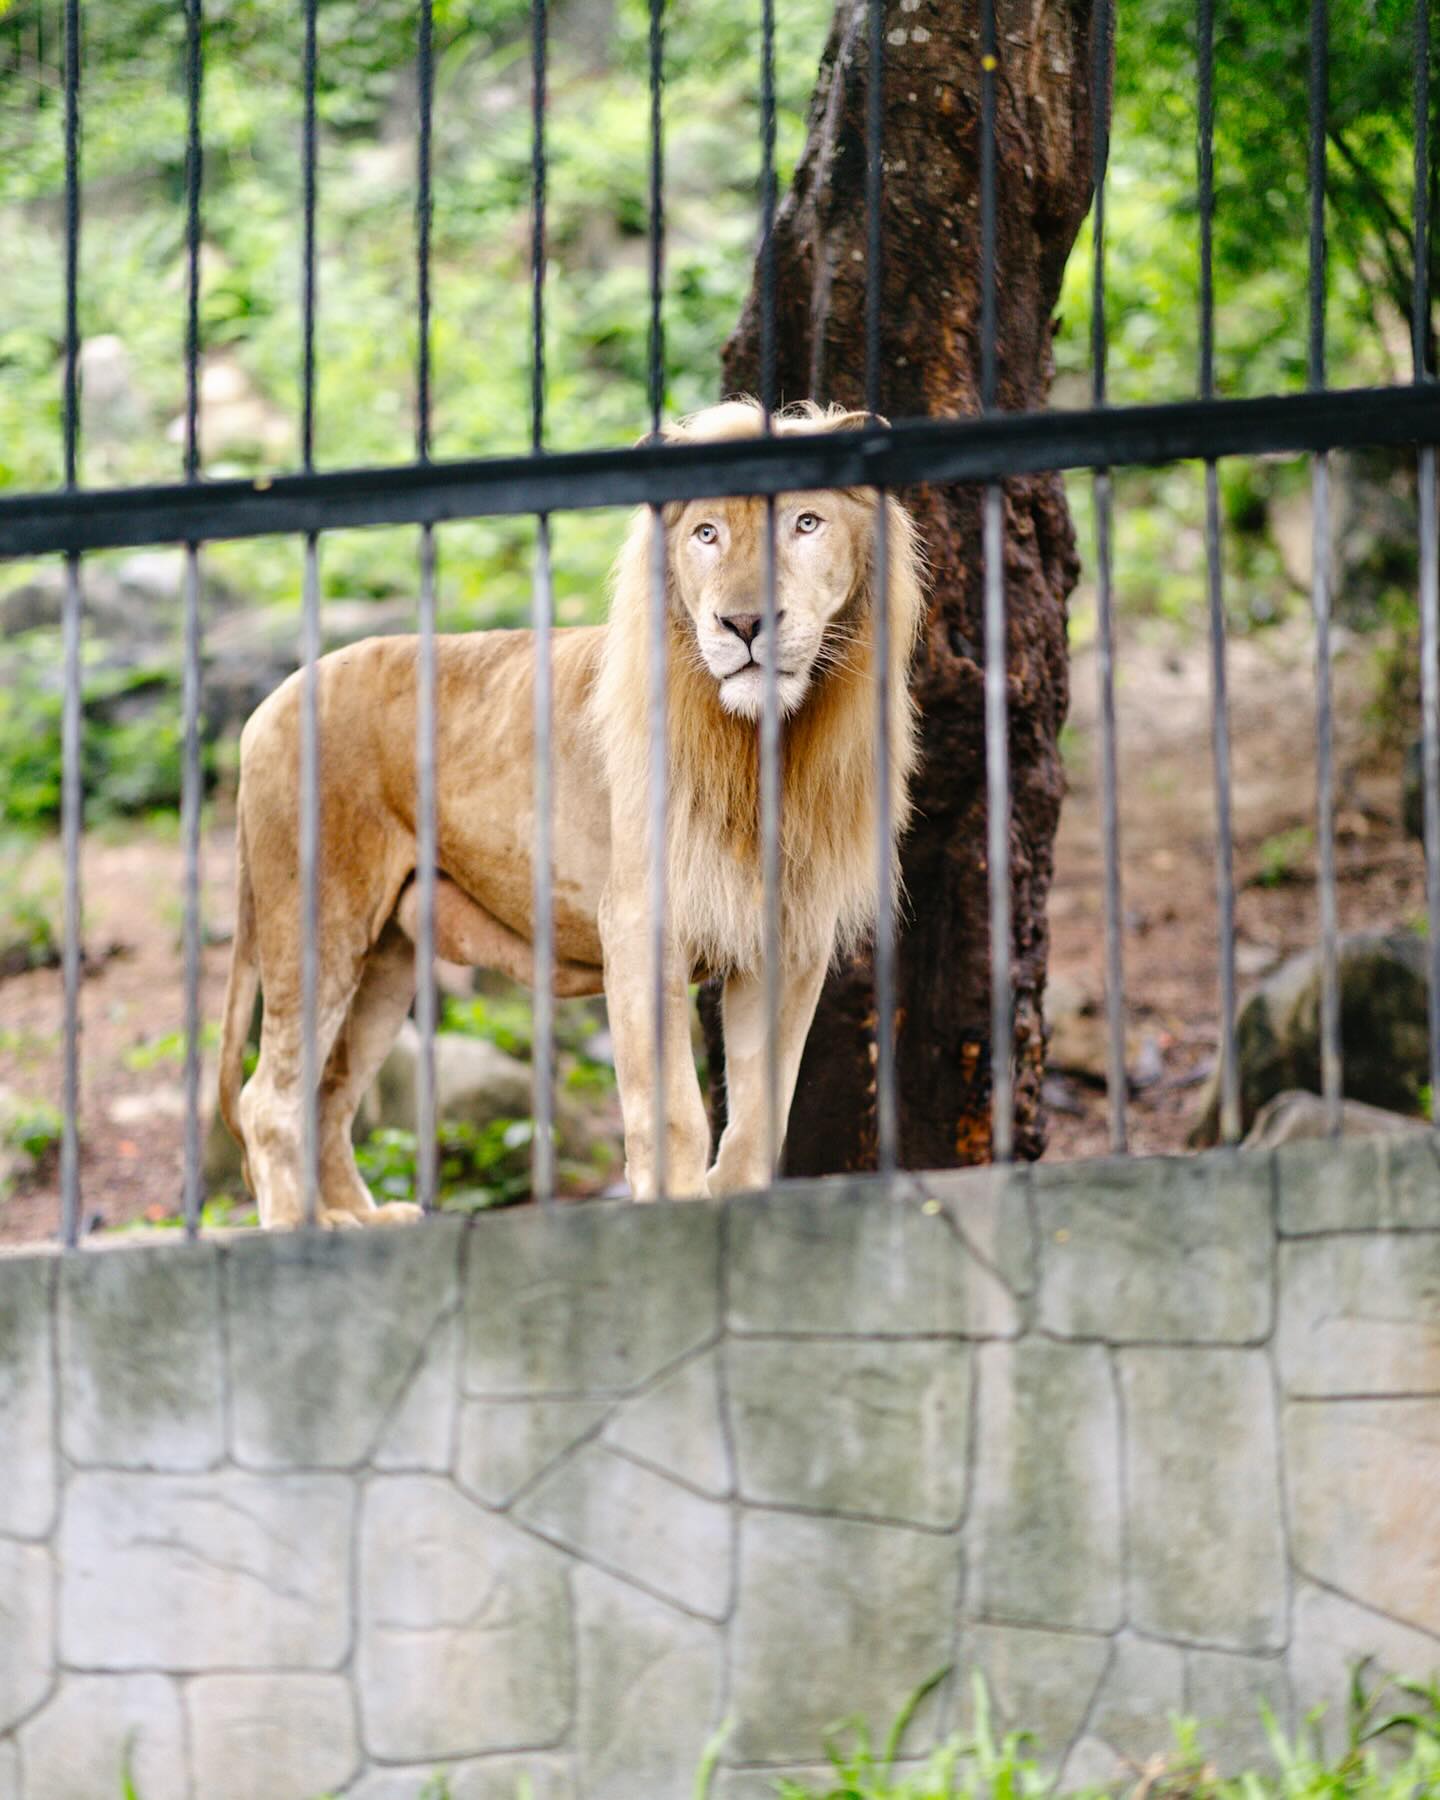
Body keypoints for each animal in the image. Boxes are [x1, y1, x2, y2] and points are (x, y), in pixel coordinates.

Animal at [219, 399, 928, 1231]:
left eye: (806, 523)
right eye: (706, 534)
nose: (745, 623)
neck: (765, 745)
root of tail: (269, 703)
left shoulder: (787, 939)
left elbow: (760, 1116)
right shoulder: (640, 925)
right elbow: (672, 1115)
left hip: (385, 957)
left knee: (329, 1094)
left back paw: (358, 1223)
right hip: (318, 923)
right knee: (269, 1101)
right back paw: (299, 1234)